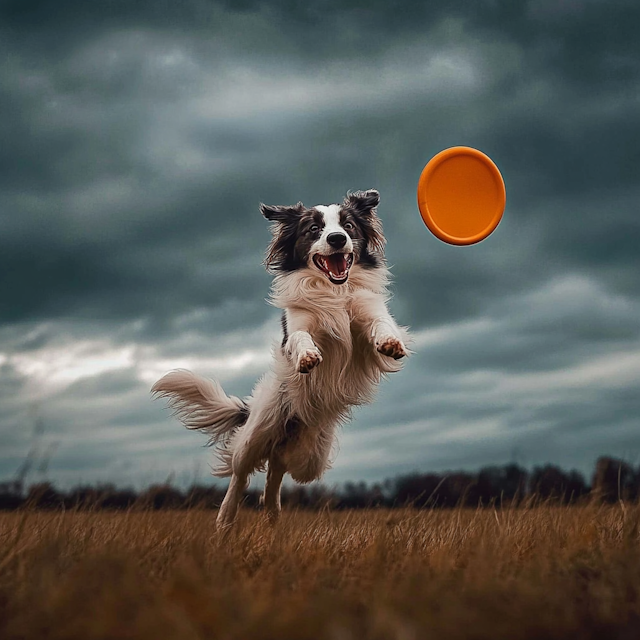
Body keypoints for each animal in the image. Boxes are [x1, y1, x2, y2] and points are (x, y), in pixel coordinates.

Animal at [152, 190, 408, 528]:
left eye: (348, 225)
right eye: (314, 229)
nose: (337, 239)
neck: (334, 291)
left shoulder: (368, 313)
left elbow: (381, 325)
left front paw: (390, 343)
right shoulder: (298, 326)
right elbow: (301, 339)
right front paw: (308, 357)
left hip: (310, 458)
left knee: (276, 469)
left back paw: (272, 515)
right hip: (259, 432)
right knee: (241, 473)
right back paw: (226, 519)